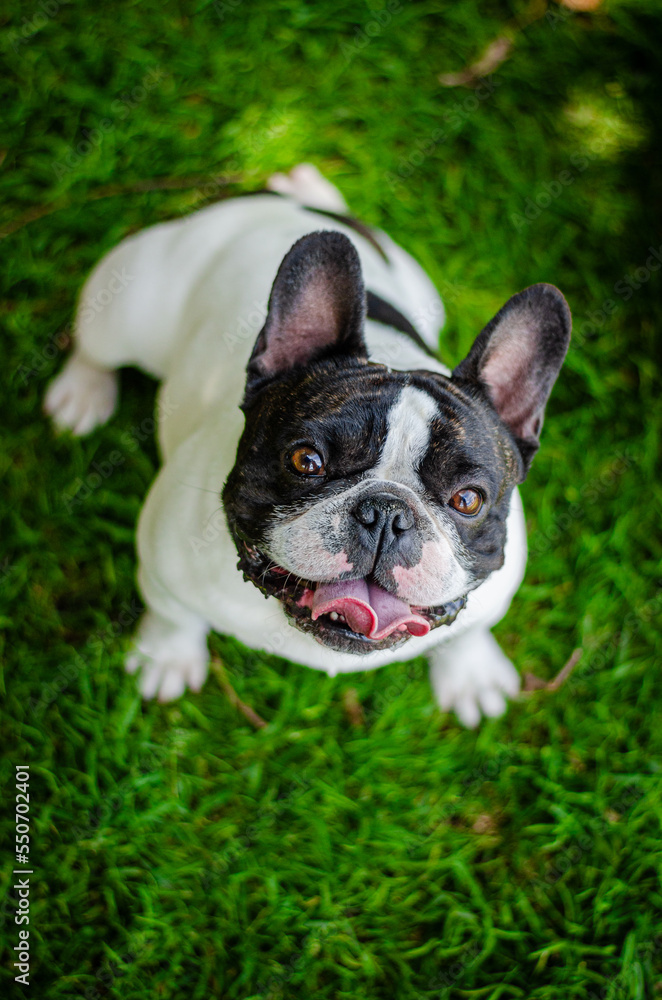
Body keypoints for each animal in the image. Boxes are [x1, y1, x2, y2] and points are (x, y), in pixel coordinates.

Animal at [45, 164, 572, 728]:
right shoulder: (163, 565)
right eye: (306, 461)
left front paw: (471, 674)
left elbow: (469, 632)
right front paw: (166, 658)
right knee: (96, 345)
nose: (386, 512)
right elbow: (172, 615)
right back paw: (81, 393)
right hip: (127, 306)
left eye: (468, 500)